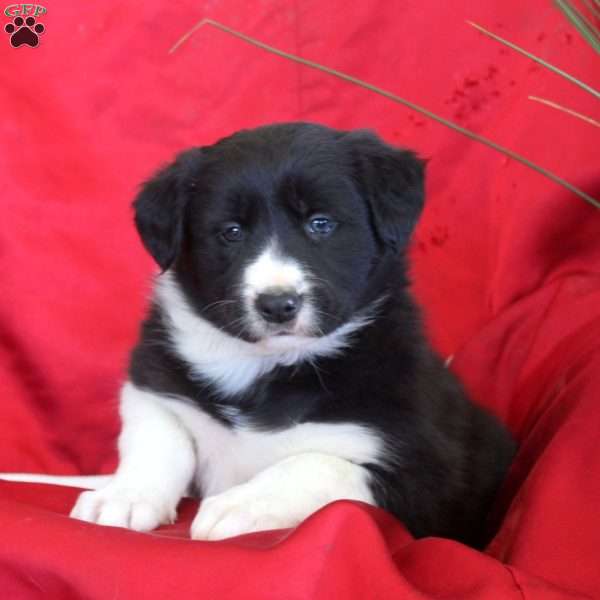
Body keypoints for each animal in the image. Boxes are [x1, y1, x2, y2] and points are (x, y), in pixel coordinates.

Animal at [4, 123, 516, 548]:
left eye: (320, 223)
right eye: (231, 232)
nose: (277, 304)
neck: (267, 366)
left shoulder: (427, 473)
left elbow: (318, 463)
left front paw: (241, 503)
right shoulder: (154, 383)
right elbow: (158, 439)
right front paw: (124, 495)